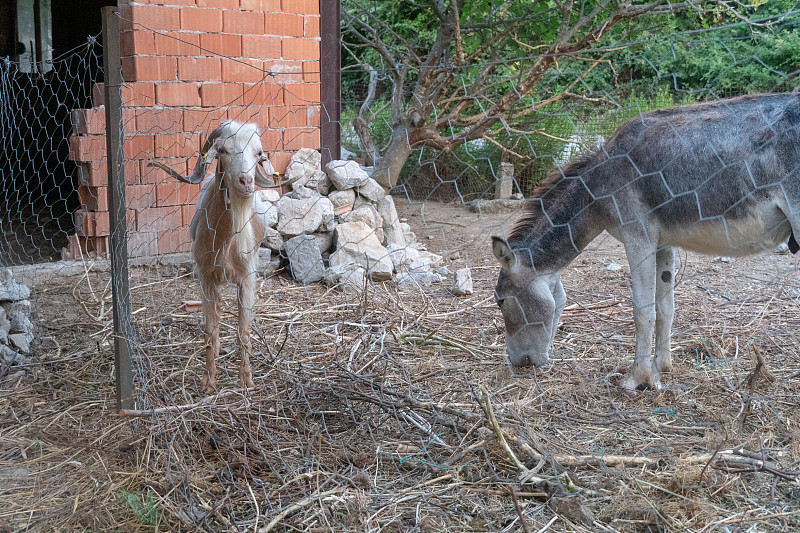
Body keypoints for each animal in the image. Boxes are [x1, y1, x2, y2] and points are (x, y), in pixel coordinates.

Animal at [152, 121, 280, 394]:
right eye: (222, 150)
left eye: (258, 153)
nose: (246, 181)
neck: (226, 243)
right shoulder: (205, 277)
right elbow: (209, 330)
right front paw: (208, 382)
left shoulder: (248, 278)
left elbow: (244, 331)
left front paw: (246, 380)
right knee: (217, 312)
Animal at [490, 93, 800, 388]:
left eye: (501, 301)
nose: (517, 362)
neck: (596, 188)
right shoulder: (664, 243)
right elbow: (665, 308)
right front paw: (661, 369)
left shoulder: (637, 238)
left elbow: (643, 312)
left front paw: (637, 379)